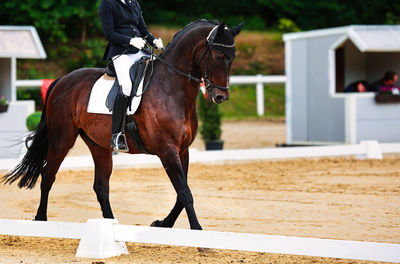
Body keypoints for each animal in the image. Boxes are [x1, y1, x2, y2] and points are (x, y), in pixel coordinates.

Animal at [3, 19, 242, 230]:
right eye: (218, 55)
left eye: (233, 57)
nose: (221, 97)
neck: (171, 88)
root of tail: (62, 80)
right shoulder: (167, 150)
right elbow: (184, 192)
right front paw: (197, 230)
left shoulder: (182, 150)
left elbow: (180, 194)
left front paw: (163, 224)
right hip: (62, 139)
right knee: (48, 175)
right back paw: (41, 219)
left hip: (98, 145)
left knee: (101, 186)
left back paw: (111, 225)